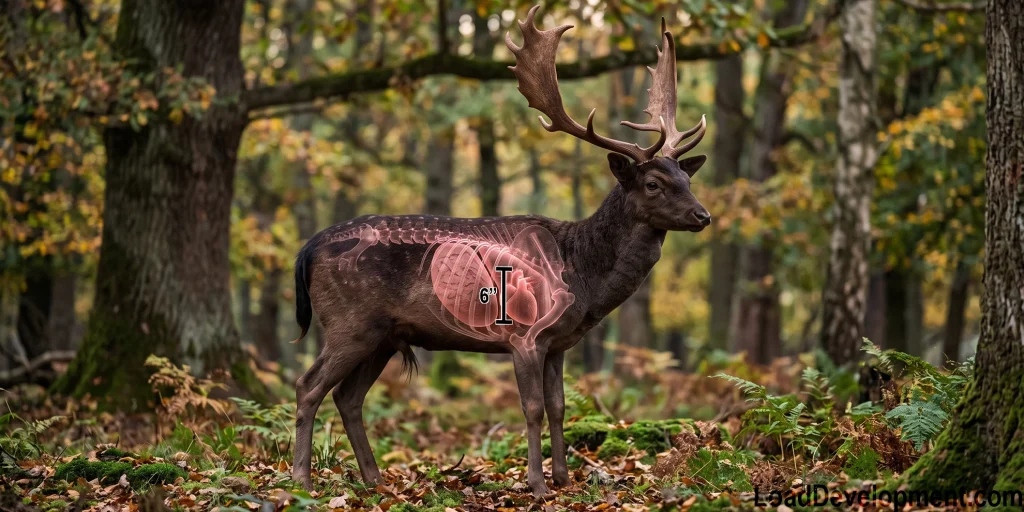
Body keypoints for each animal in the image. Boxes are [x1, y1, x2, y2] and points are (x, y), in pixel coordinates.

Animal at [290, 5, 711, 497]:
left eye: (686, 178)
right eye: (653, 184)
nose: (703, 215)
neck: (580, 273)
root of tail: (308, 248)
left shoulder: (560, 343)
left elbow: (559, 405)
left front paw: (563, 478)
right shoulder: (524, 335)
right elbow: (532, 408)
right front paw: (537, 485)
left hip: (383, 335)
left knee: (348, 396)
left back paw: (375, 480)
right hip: (348, 321)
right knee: (308, 386)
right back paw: (301, 478)